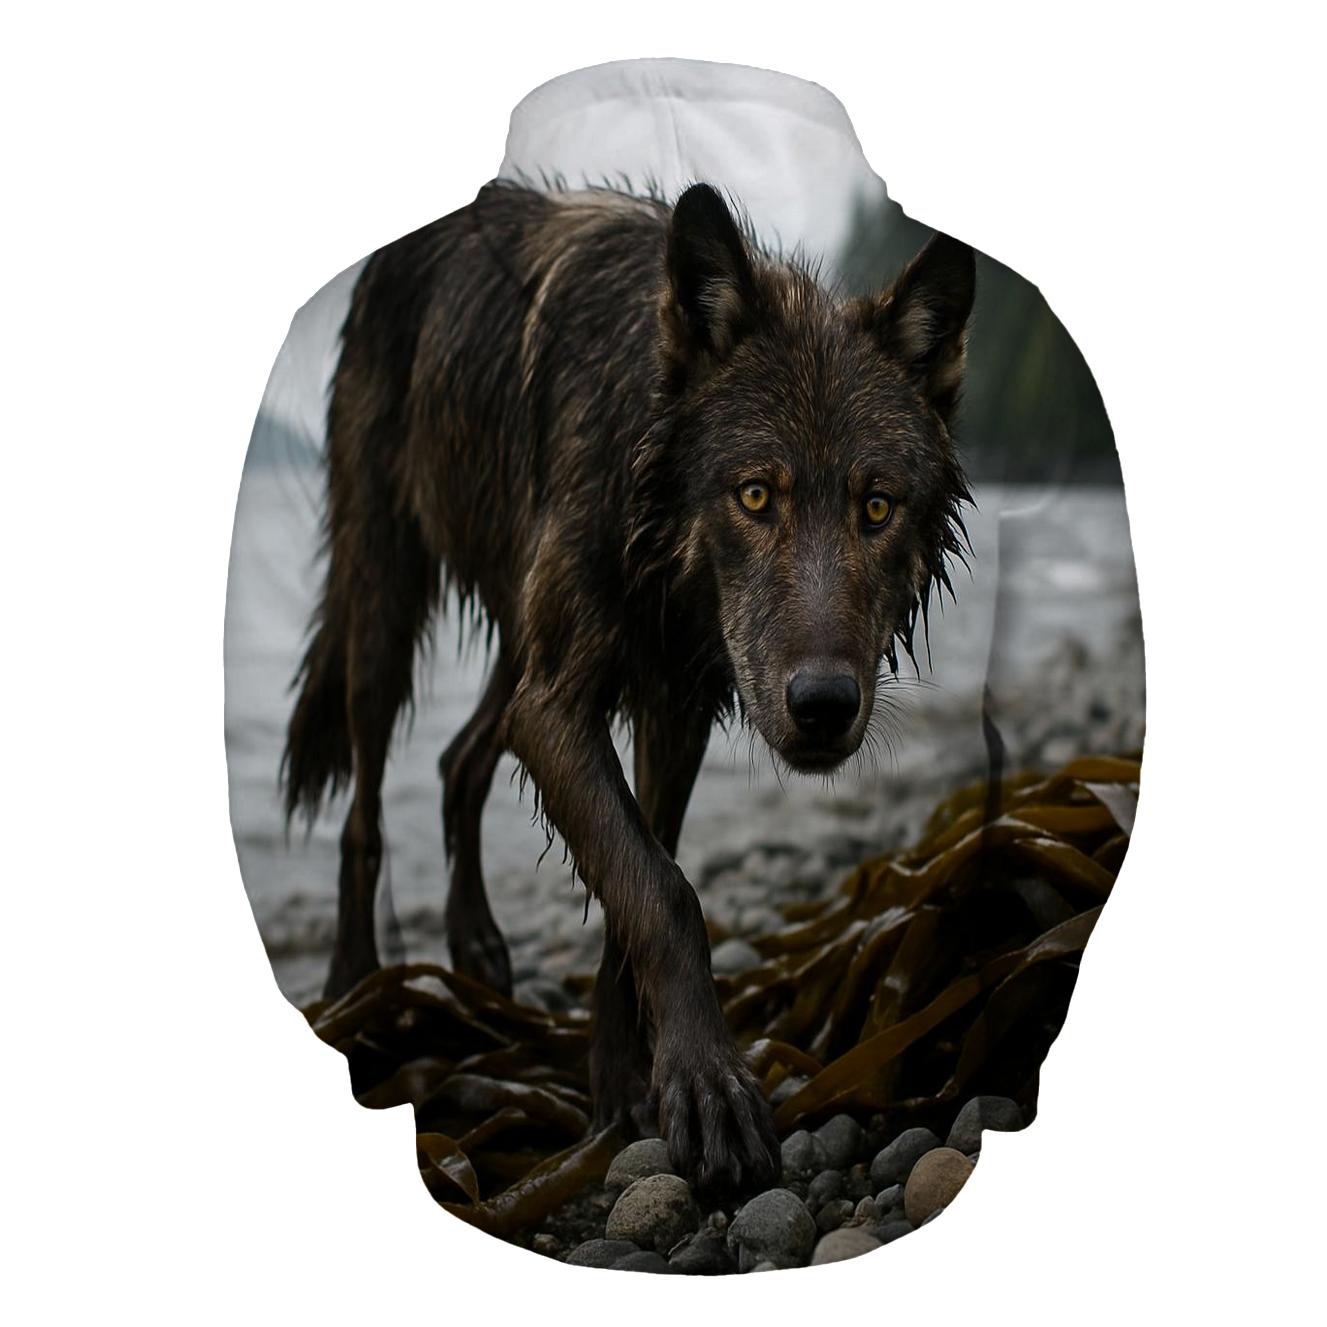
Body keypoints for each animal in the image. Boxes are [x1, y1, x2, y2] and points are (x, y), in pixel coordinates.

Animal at [282, 180, 975, 1193]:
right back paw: (352, 983)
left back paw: (476, 943)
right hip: (385, 603)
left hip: (518, 638)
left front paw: (625, 1092)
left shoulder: (671, 704)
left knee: (459, 758)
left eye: (876, 506)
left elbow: (634, 879)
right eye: (754, 495)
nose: (822, 707)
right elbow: (662, 889)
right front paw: (709, 1085)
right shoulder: (563, 704)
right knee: (365, 808)